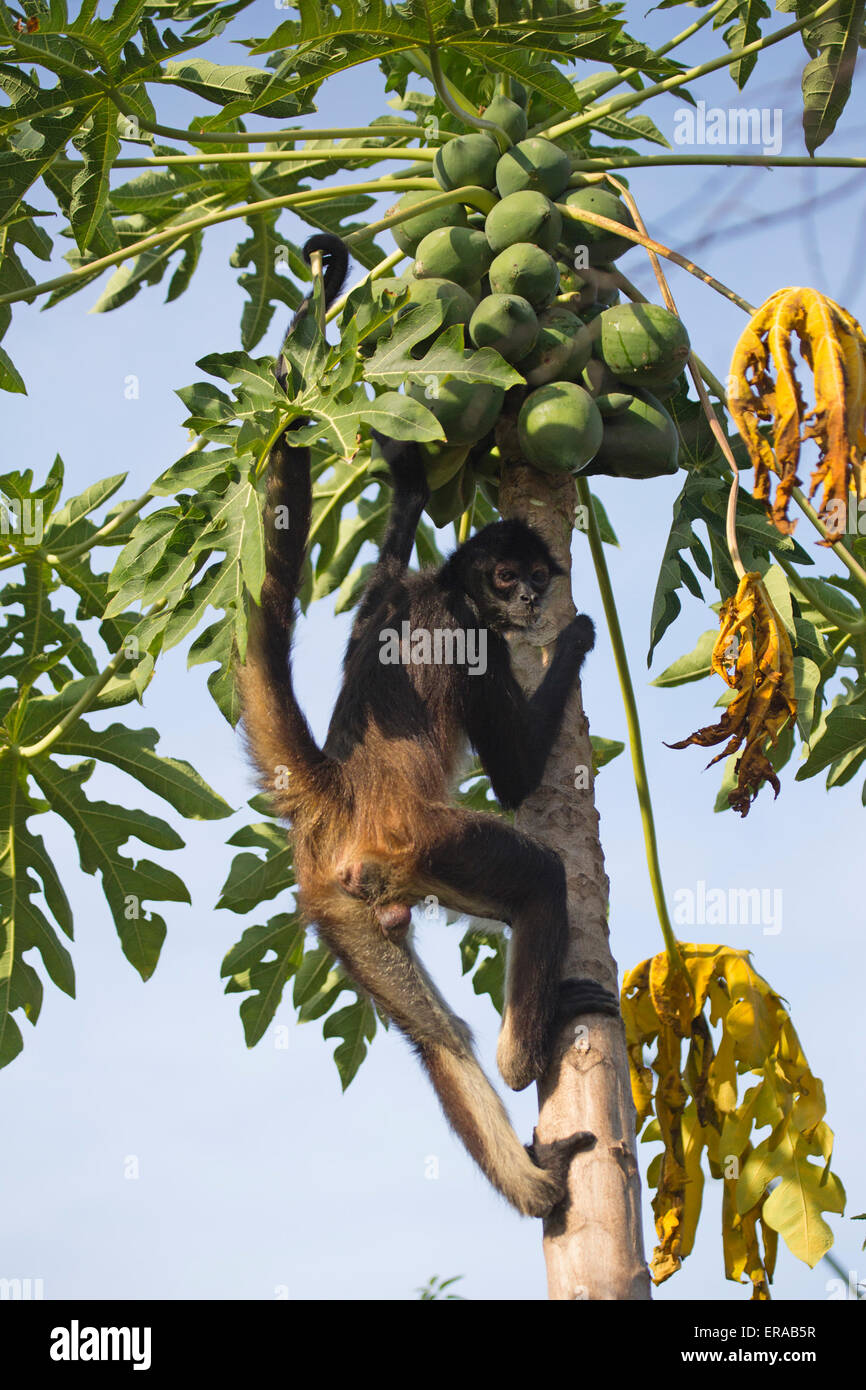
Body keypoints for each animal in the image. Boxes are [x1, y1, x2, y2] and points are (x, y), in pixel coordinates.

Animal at [241, 236, 622, 1217]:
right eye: (507, 580)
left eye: (535, 575)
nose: (530, 601)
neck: (445, 588)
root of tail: (335, 797)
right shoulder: (471, 633)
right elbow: (520, 778)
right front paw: (575, 636)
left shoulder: (387, 593)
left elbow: (388, 546)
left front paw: (407, 477)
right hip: (423, 842)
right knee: (539, 876)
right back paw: (523, 1057)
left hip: (344, 902)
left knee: (435, 1037)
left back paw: (534, 1181)